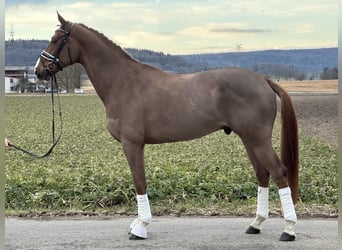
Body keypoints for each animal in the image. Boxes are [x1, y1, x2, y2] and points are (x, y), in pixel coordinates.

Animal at [34, 13, 296, 240]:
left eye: (56, 39)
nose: (38, 70)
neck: (123, 83)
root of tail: (264, 80)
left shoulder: (132, 144)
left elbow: (139, 182)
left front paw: (141, 226)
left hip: (258, 140)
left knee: (279, 173)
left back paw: (289, 229)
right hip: (248, 139)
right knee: (262, 174)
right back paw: (256, 224)